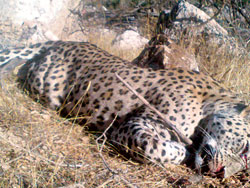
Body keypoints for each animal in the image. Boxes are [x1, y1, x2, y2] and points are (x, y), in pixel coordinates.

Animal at [0, 40, 249, 178]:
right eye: (246, 147)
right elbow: (154, 148)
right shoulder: (131, 126)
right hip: (48, 87)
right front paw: (185, 151)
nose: (220, 174)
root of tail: (58, 42)